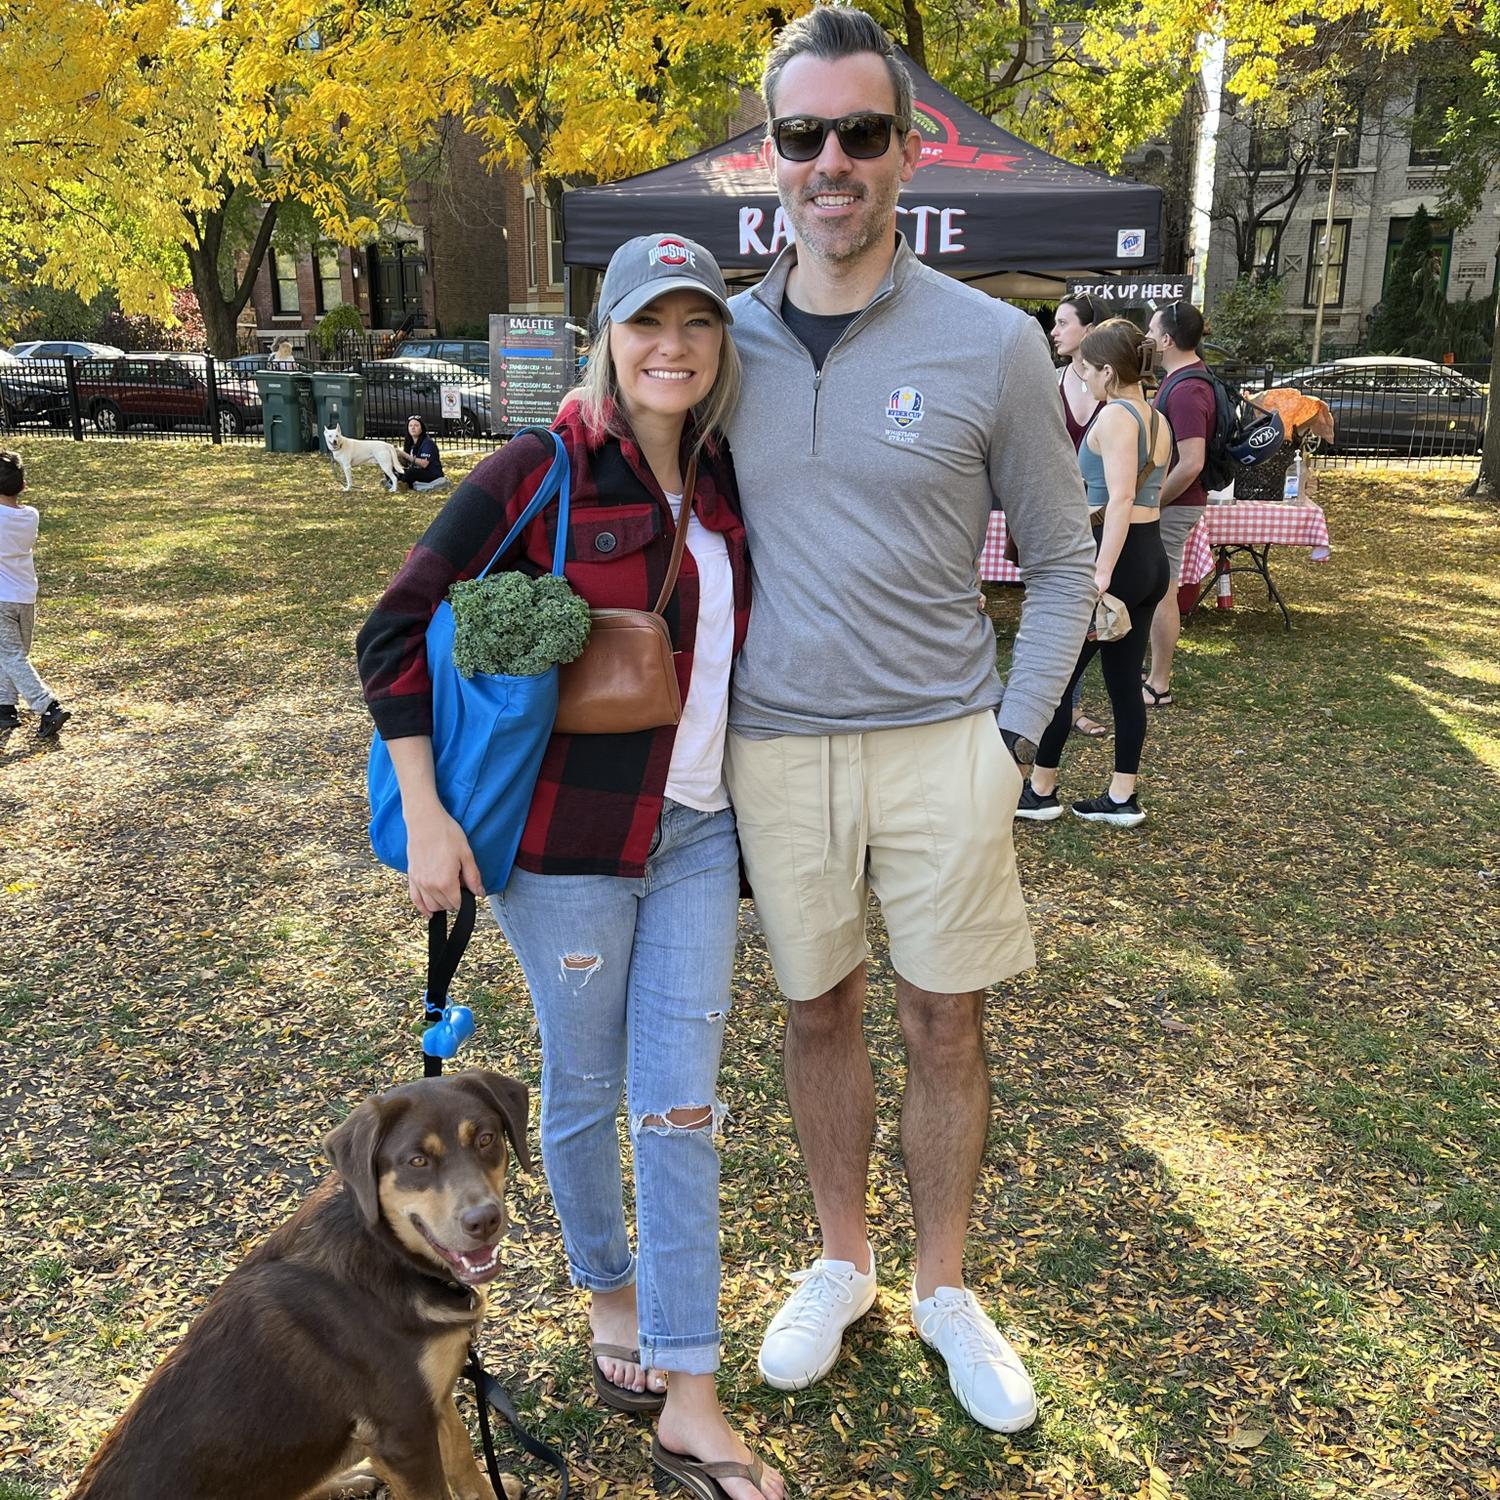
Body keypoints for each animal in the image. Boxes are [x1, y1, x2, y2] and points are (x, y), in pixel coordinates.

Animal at [74, 1068, 540, 1500]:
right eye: (417, 1161)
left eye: (485, 1139)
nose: (484, 1220)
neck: (388, 1254)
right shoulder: (402, 1431)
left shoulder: (434, 1400)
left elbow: (461, 1457)